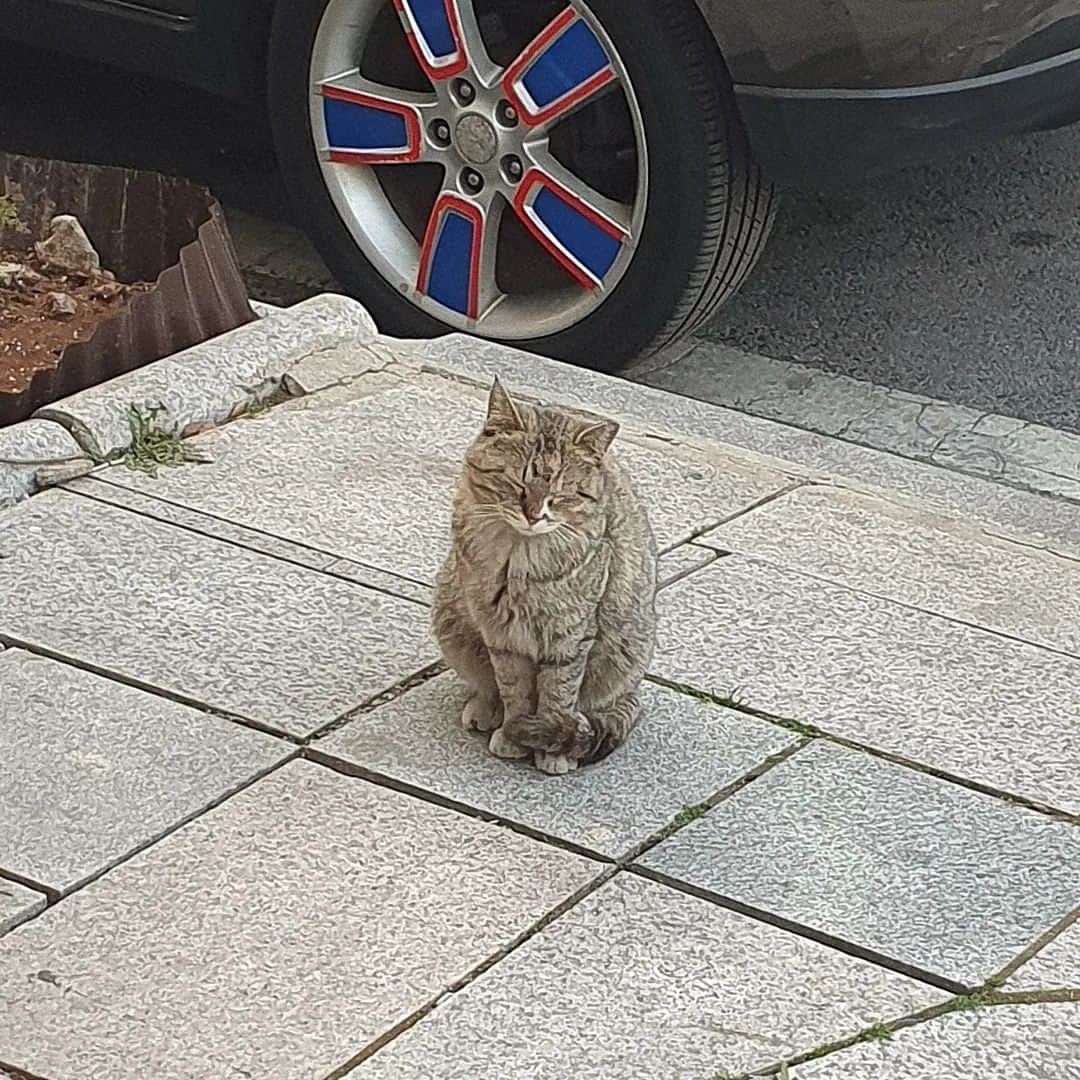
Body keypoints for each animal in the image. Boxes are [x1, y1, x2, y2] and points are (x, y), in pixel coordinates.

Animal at [432, 375, 656, 773]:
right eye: (518, 484)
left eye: (561, 494)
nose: (534, 515)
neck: (518, 559)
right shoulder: (502, 638)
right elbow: (515, 692)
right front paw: (513, 734)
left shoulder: (570, 639)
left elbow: (557, 695)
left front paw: (550, 748)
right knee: (488, 686)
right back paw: (485, 709)